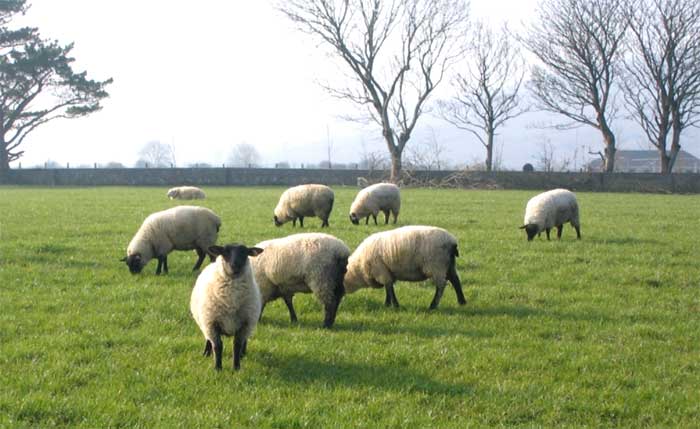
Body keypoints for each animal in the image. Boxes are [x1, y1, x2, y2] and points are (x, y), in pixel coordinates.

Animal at [190, 242, 264, 370]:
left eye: (245, 252)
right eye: (225, 252)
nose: (235, 265)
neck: (231, 299)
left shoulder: (245, 324)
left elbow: (237, 345)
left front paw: (236, 367)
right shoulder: (212, 323)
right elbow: (218, 346)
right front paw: (218, 368)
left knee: (244, 341)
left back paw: (243, 354)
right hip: (205, 321)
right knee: (208, 339)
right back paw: (206, 353)